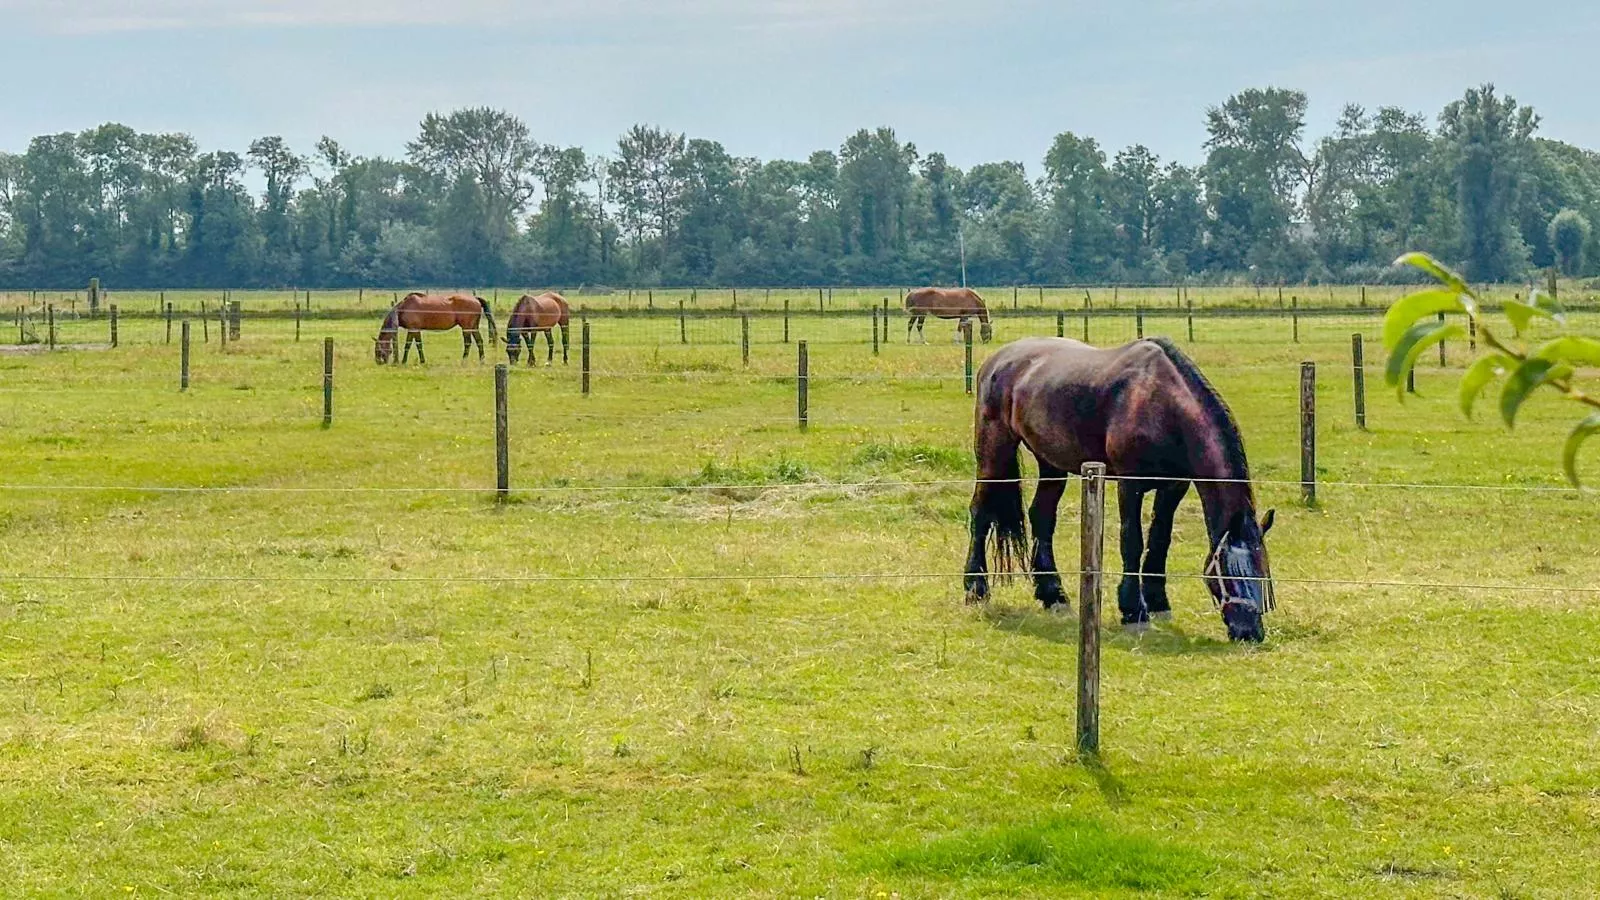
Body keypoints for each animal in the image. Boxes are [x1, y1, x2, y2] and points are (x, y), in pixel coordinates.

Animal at [960, 334, 1273, 637]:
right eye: (1231, 572)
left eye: (1263, 572)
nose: (1250, 632)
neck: (1161, 402)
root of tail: (996, 360)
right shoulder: (1129, 483)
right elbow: (1132, 540)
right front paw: (1134, 611)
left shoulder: (1174, 487)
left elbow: (1160, 539)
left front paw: (1158, 602)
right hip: (994, 451)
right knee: (980, 513)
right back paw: (976, 588)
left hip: (1051, 463)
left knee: (1042, 517)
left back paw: (1054, 596)